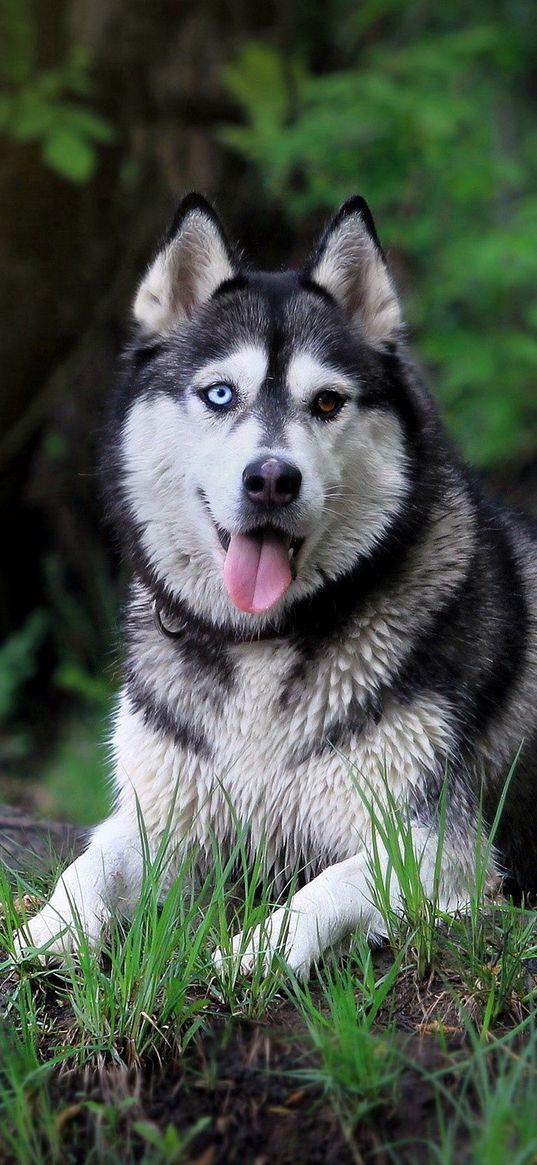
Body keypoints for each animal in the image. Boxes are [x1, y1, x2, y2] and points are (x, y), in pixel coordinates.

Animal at [15, 195, 535, 978]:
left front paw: (254, 951)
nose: (270, 478)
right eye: (219, 393)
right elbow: (88, 865)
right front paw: (47, 932)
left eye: (325, 403)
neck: (259, 642)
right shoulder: (160, 815)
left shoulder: (442, 846)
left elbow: (327, 887)